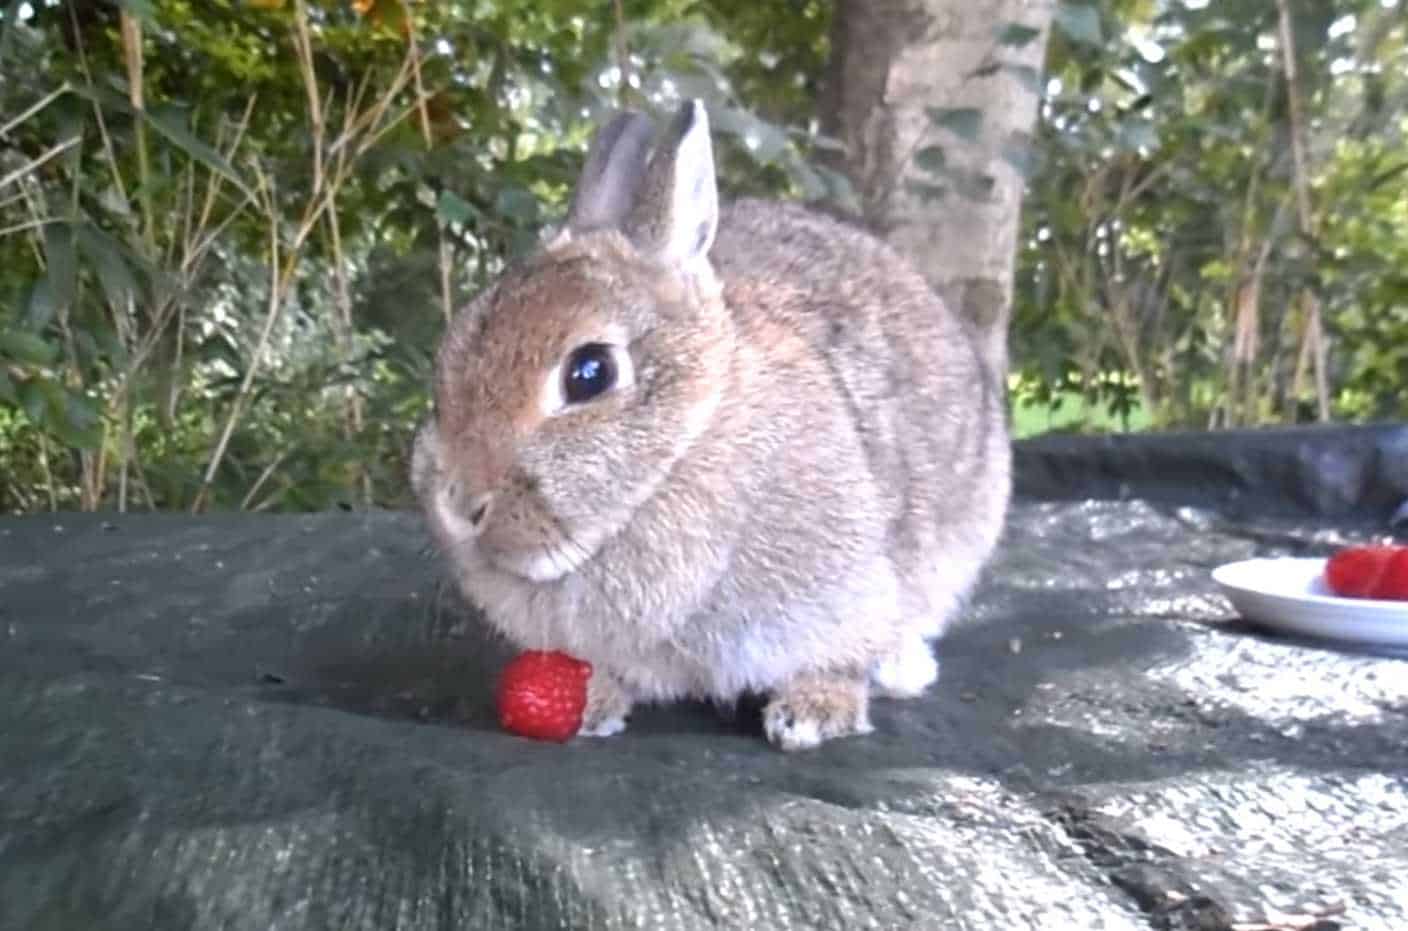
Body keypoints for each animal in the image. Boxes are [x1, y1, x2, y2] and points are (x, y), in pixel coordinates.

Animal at [411, 100, 1013, 749]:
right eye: (448, 357)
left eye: (590, 374)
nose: (460, 505)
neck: (681, 447)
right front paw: (595, 704)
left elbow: (839, 656)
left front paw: (811, 713)